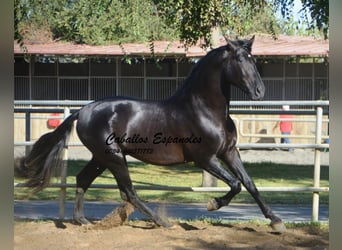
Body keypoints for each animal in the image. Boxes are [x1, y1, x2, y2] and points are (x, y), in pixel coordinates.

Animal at [20, 36, 286, 232]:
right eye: (240, 59)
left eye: (253, 59)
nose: (260, 92)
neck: (204, 110)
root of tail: (83, 111)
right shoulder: (204, 159)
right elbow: (235, 184)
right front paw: (213, 204)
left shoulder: (229, 152)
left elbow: (249, 184)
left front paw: (276, 221)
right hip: (114, 157)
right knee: (129, 191)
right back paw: (163, 222)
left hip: (102, 157)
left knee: (84, 179)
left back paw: (83, 221)